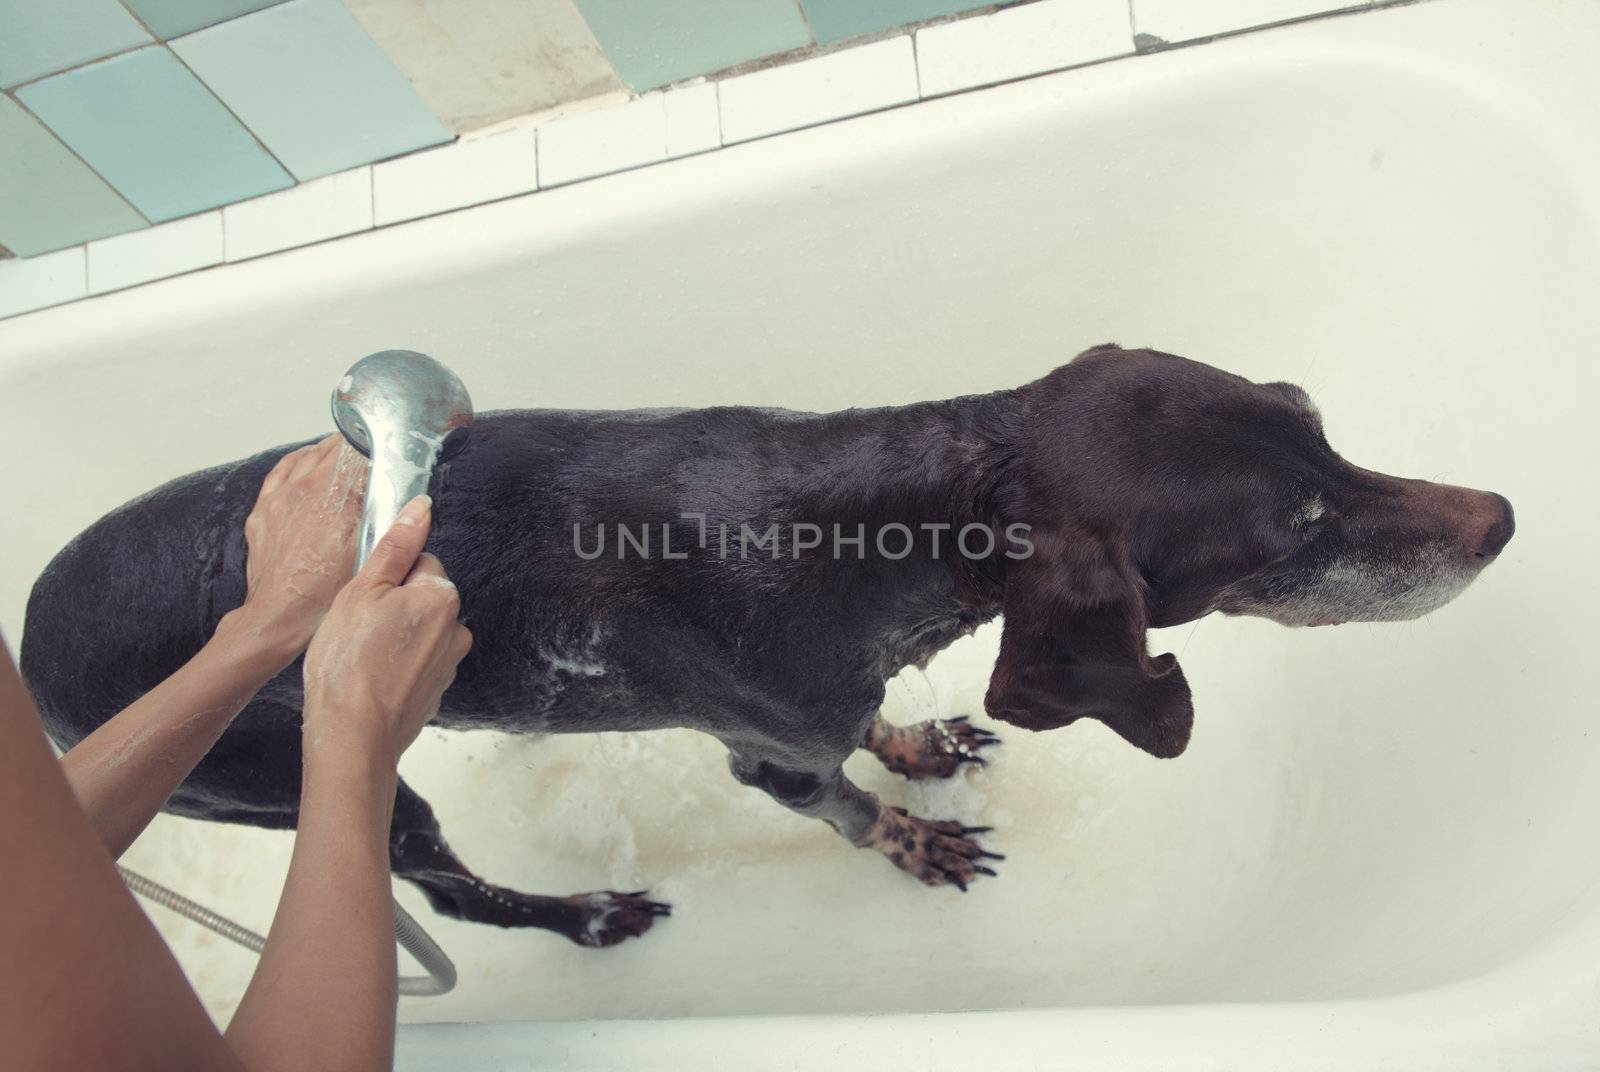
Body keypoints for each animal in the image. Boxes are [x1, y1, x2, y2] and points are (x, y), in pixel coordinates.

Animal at [18, 344, 1510, 947]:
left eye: (1311, 414)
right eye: (1291, 532)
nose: (1501, 519)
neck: (882, 522)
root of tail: (26, 648)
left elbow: (873, 734)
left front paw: (918, 739)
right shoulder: (768, 756)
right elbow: (841, 804)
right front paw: (910, 835)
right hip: (317, 780)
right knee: (451, 892)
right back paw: (582, 917)